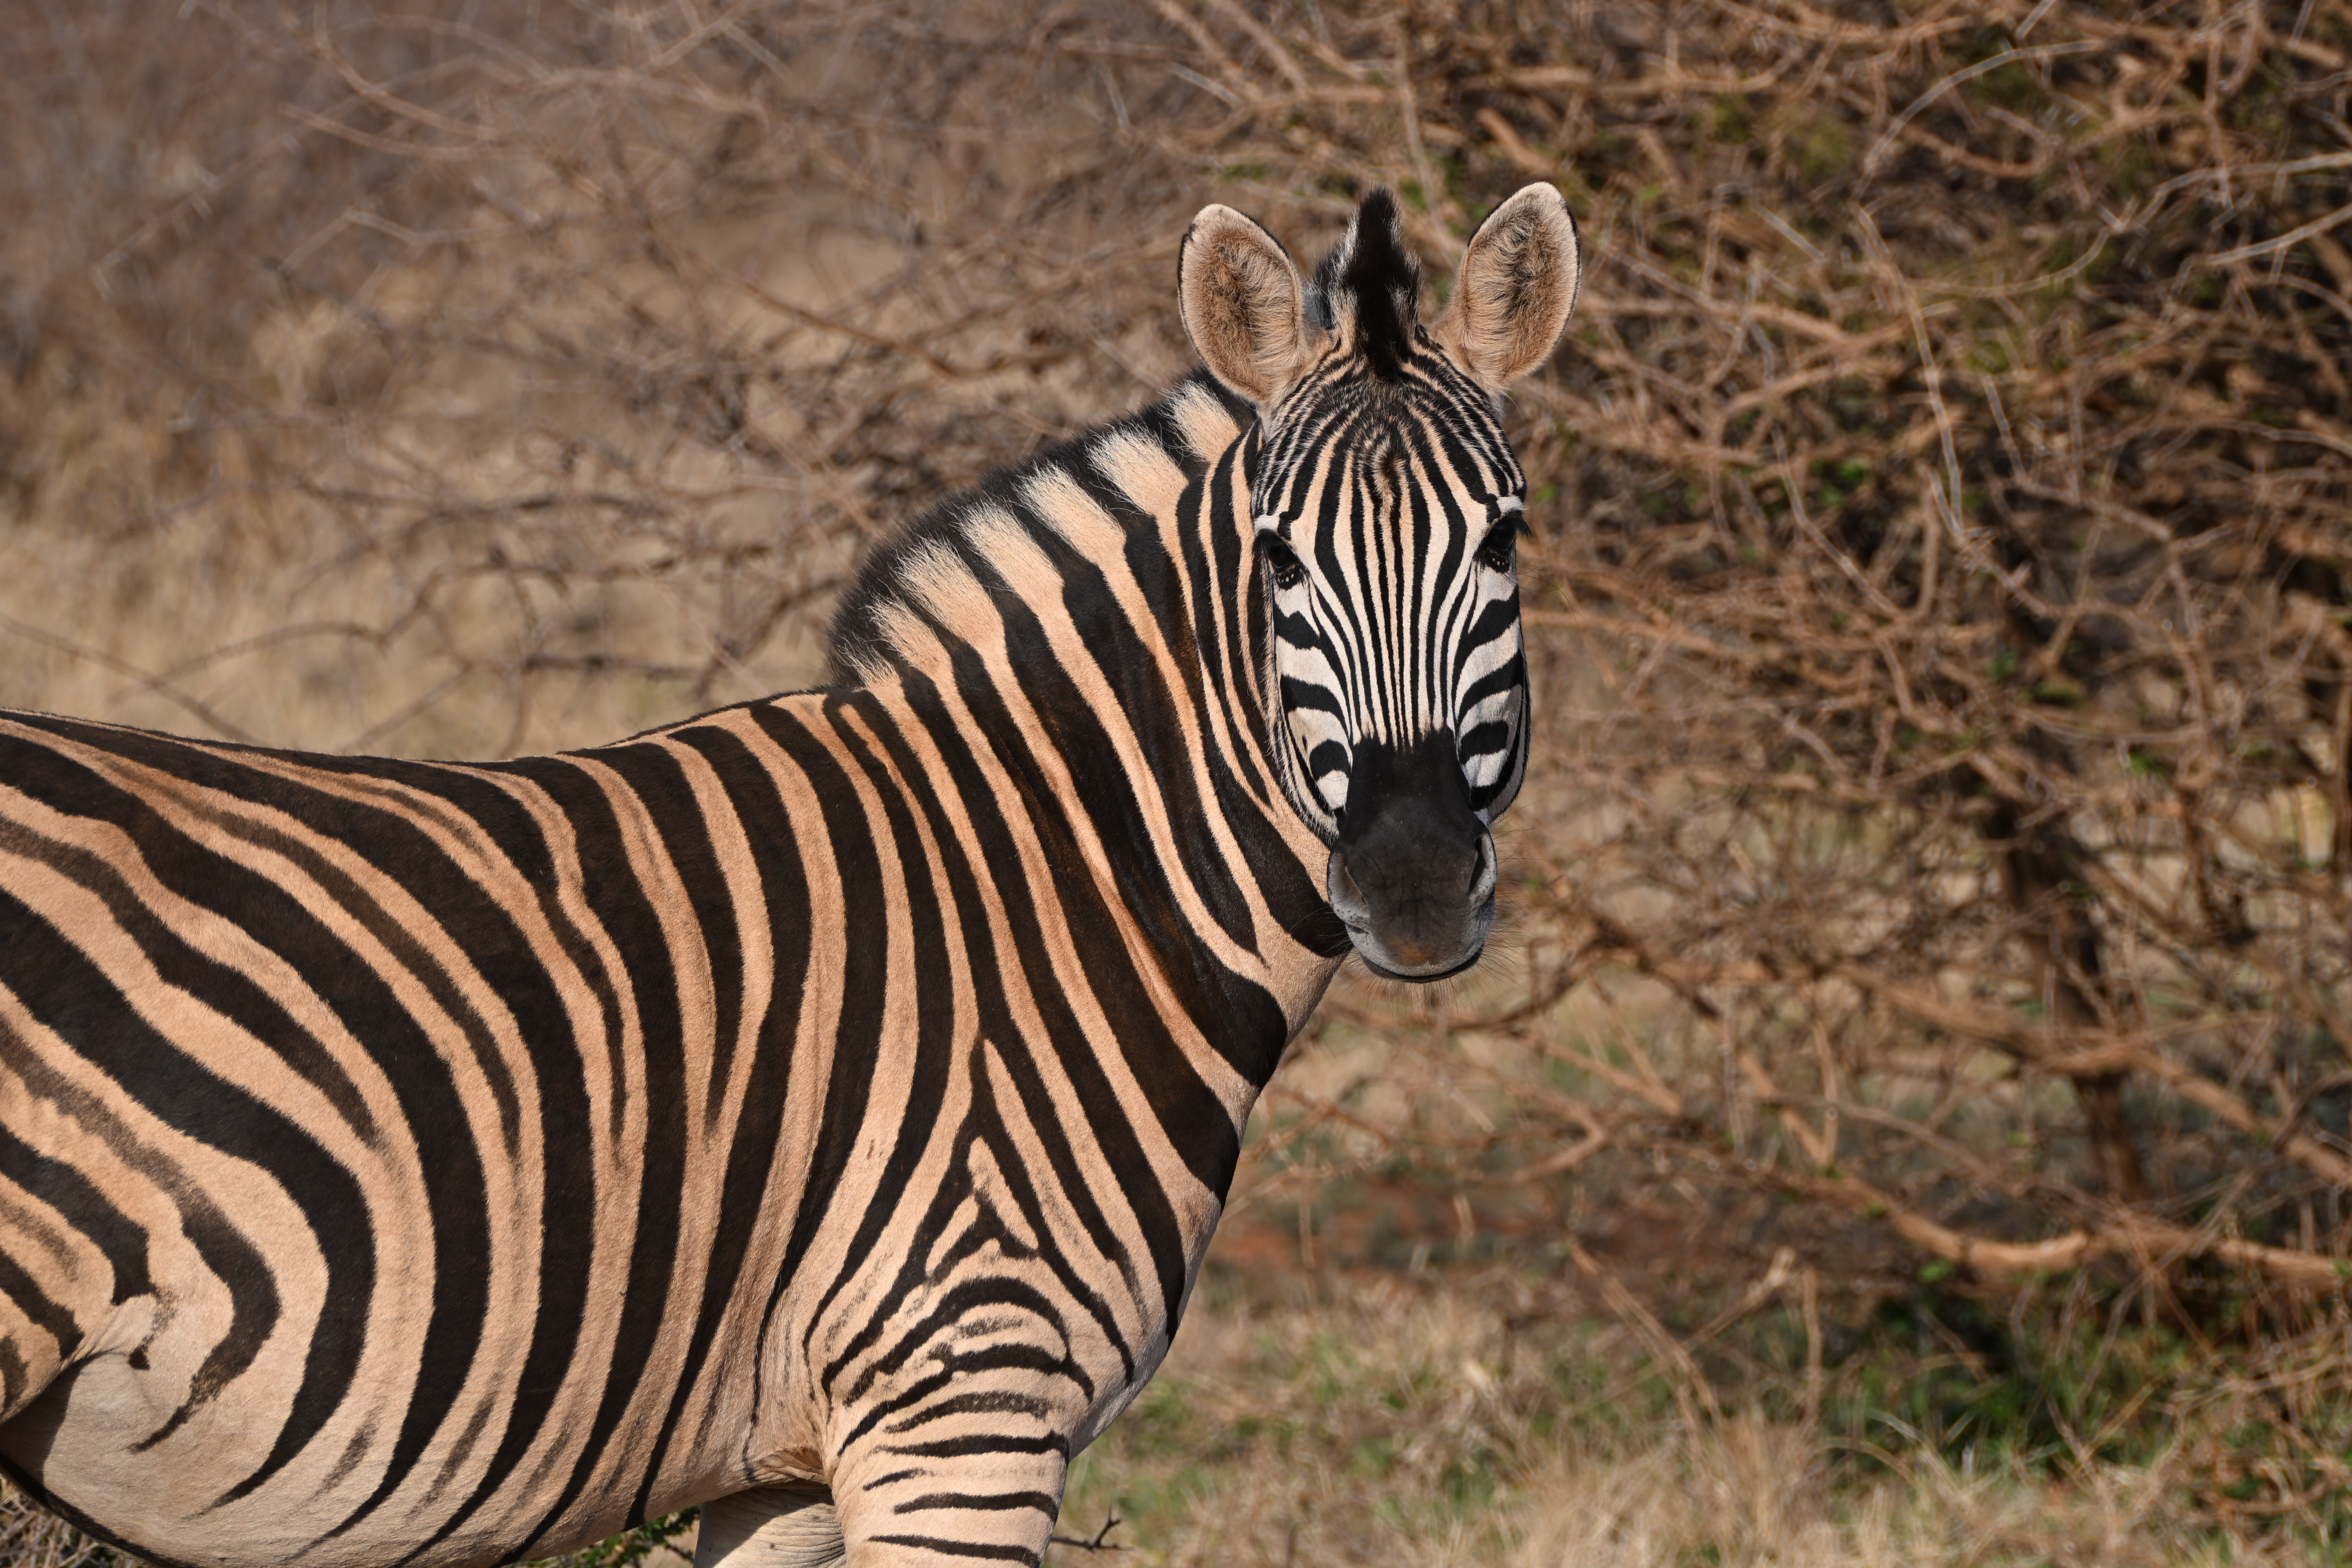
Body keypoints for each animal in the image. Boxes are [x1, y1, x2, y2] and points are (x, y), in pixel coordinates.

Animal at [0, 183, 1578, 1568]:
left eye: (1504, 537)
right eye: (1275, 560)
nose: (1412, 880)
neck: (1052, 884)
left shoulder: (786, 1470)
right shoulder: (961, 1405)